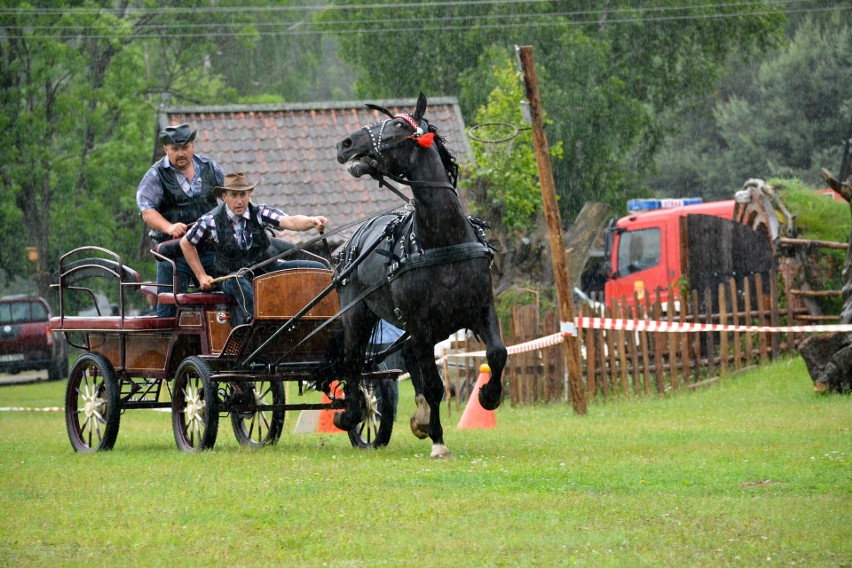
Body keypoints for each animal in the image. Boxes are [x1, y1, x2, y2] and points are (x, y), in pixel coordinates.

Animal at [332, 92, 506, 458]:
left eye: (398, 124)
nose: (346, 143)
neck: (443, 241)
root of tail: (353, 240)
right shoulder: (423, 326)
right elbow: (436, 384)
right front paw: (438, 440)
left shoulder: (481, 309)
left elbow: (497, 353)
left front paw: (489, 395)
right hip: (357, 314)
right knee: (352, 361)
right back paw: (351, 412)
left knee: (404, 358)